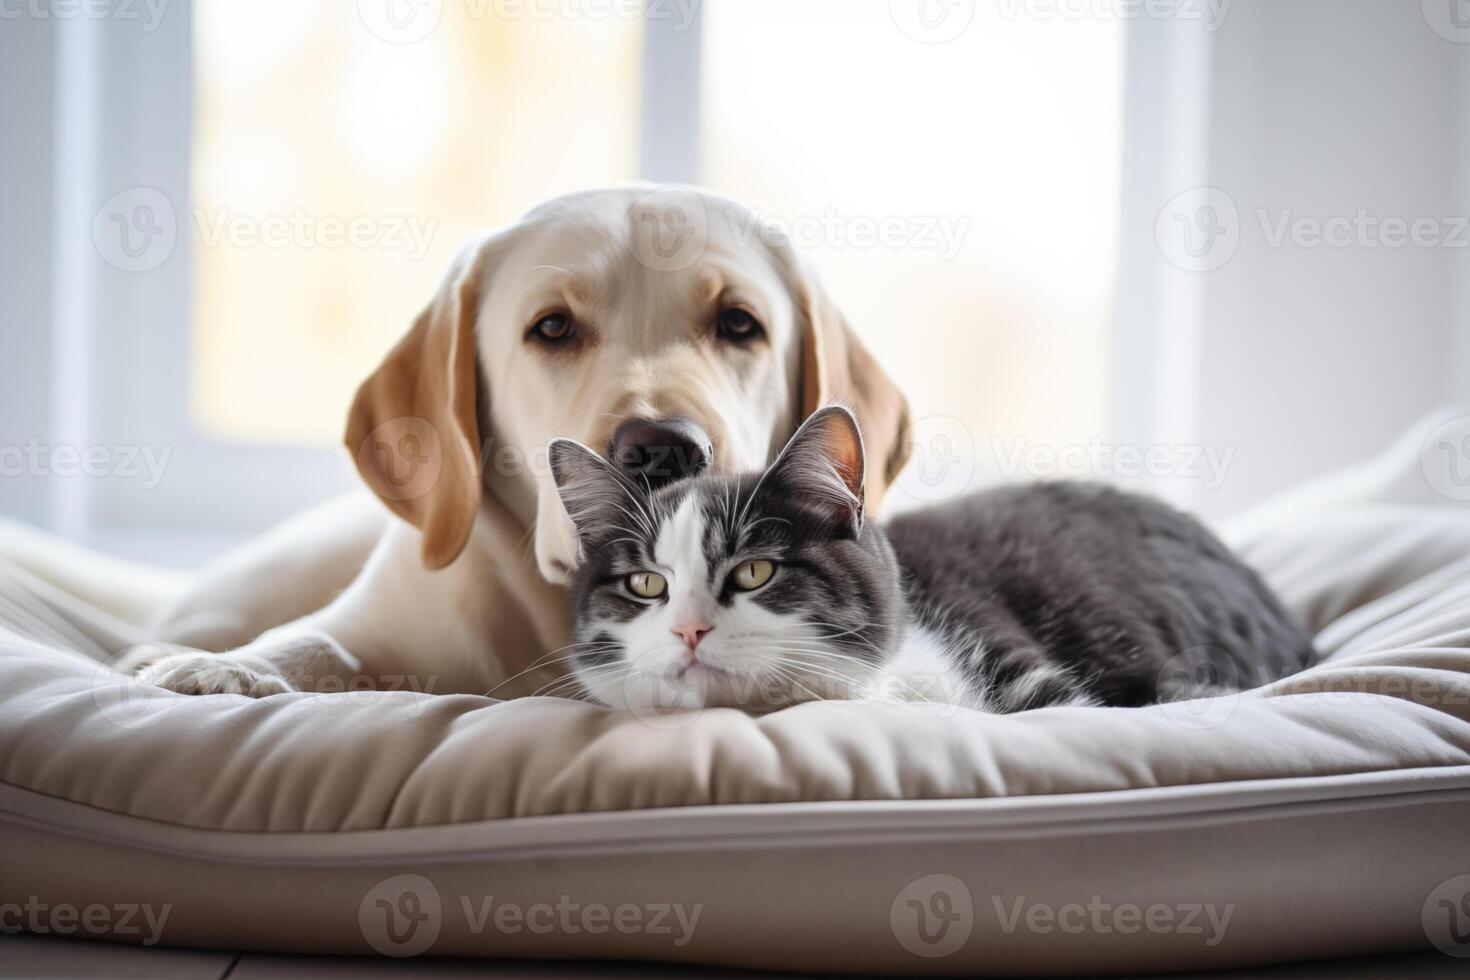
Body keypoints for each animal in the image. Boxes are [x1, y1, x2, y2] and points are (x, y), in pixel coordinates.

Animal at [120, 185, 911, 696]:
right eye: (552, 327)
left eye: (740, 323)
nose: (663, 449)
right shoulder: (379, 619)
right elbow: (316, 641)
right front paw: (230, 669)